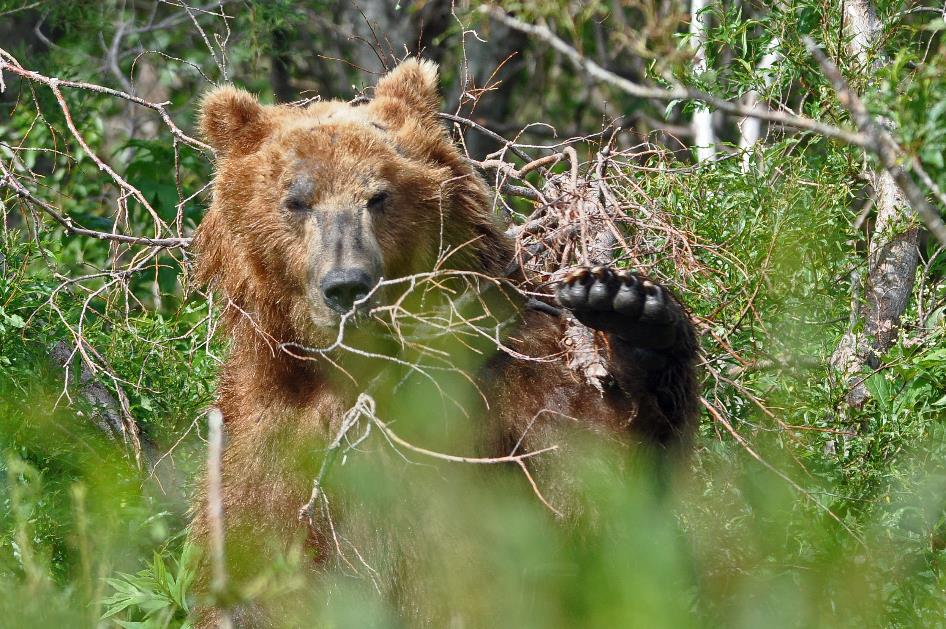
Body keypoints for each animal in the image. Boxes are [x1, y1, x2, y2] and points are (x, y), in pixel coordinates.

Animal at [190, 57, 692, 624]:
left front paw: (633, 311)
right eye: (296, 201)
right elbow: (258, 558)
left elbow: (590, 488)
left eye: (379, 195)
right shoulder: (269, 426)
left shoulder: (502, 376)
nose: (347, 286)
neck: (368, 373)